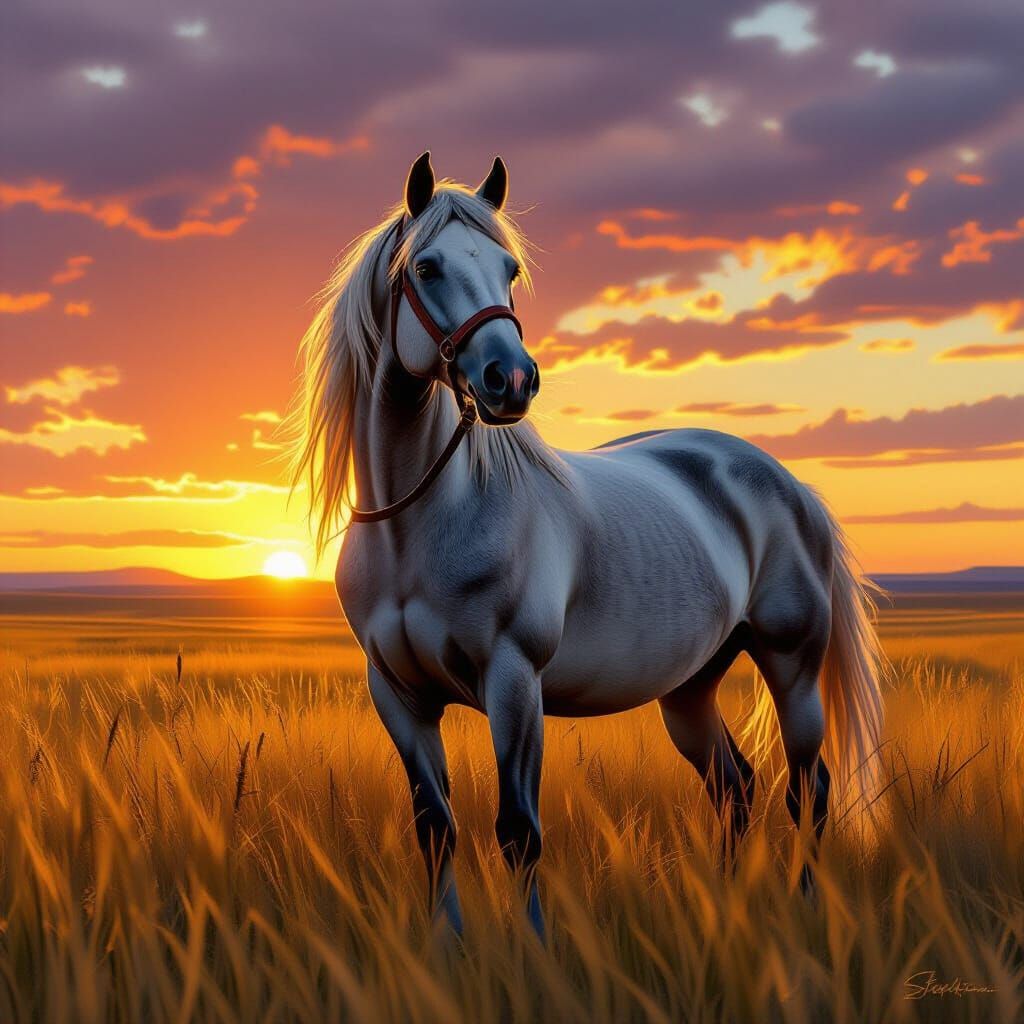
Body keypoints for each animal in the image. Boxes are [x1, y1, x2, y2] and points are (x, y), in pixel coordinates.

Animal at [289, 152, 884, 940]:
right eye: (427, 266)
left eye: (509, 268)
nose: (511, 380)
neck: (417, 524)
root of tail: (787, 484)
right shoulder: (399, 695)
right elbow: (436, 826)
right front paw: (445, 944)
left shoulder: (514, 682)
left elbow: (518, 830)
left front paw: (534, 947)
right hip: (689, 688)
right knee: (734, 786)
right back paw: (727, 914)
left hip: (793, 667)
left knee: (808, 790)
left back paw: (805, 910)